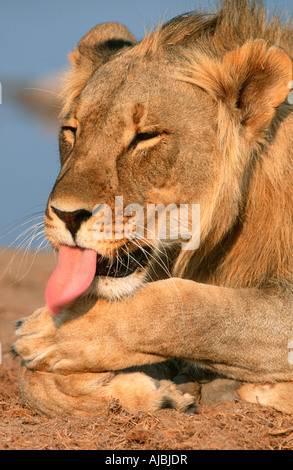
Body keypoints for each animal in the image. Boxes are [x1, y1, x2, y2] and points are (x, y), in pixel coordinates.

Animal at [10, 0, 292, 418]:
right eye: (72, 131)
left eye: (145, 137)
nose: (67, 215)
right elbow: (28, 379)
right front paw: (150, 392)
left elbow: (189, 305)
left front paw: (53, 328)